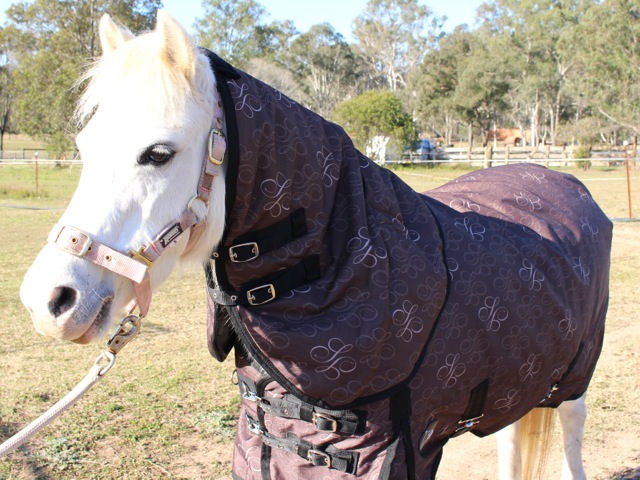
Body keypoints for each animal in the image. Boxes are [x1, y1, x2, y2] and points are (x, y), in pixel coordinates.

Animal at [19, 11, 611, 480]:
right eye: (84, 146)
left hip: (572, 385)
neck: (353, 265)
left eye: (159, 153)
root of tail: (562, 179)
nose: (50, 301)